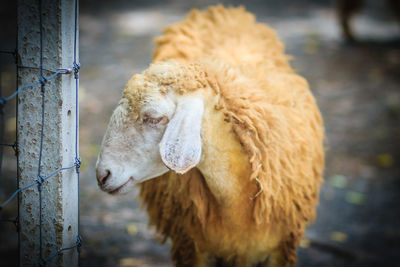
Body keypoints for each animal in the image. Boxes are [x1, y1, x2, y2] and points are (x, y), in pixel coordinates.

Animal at [96, 4, 324, 267]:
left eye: (153, 117)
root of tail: (218, 10)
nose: (102, 175)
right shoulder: (190, 245)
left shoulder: (282, 247)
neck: (239, 200)